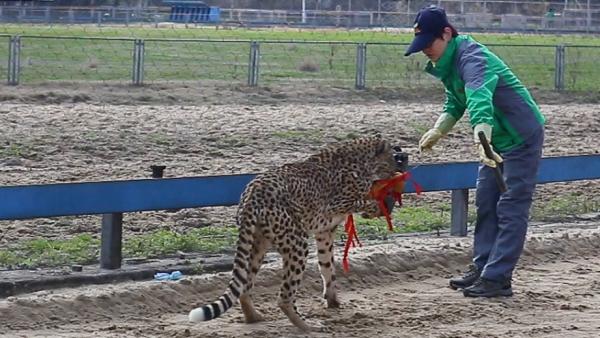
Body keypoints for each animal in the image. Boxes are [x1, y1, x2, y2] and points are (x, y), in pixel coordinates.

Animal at [188, 136, 404, 332]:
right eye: (392, 157)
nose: (398, 168)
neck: (361, 160)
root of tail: (253, 191)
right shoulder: (337, 204)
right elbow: (363, 201)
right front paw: (378, 206)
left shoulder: (325, 231)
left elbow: (327, 267)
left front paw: (332, 301)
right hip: (296, 243)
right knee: (284, 297)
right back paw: (307, 325)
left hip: (258, 244)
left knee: (244, 286)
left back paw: (254, 318)